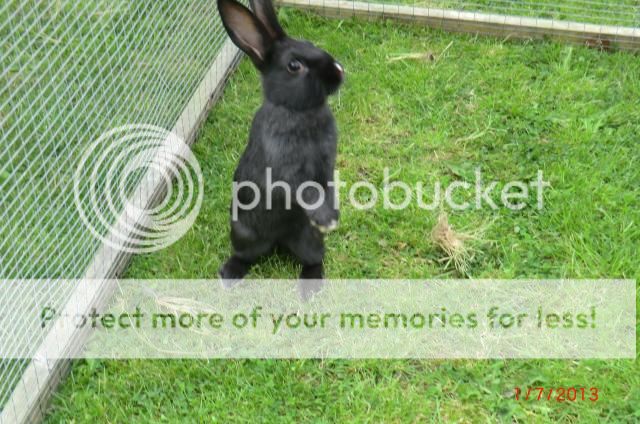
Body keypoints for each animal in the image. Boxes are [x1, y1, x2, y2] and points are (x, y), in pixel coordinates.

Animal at [216, 0, 344, 298]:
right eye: (294, 65)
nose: (339, 71)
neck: (299, 112)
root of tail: (278, 240)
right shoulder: (285, 168)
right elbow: (306, 190)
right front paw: (327, 218)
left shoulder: (326, 165)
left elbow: (327, 185)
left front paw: (331, 217)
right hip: (243, 232)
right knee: (246, 255)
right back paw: (229, 274)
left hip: (308, 240)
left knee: (314, 259)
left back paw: (309, 288)